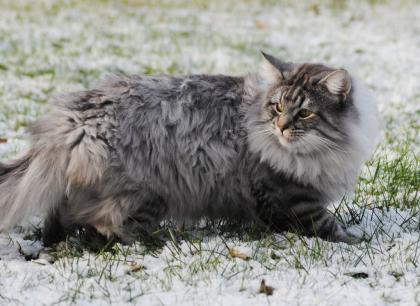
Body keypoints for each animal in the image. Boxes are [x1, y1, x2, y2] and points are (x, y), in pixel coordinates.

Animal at [0, 52, 380, 244]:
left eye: (304, 112)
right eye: (277, 107)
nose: (282, 127)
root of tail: (73, 117)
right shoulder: (291, 198)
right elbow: (328, 225)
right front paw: (360, 239)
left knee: (63, 213)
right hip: (146, 192)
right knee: (104, 222)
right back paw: (156, 240)